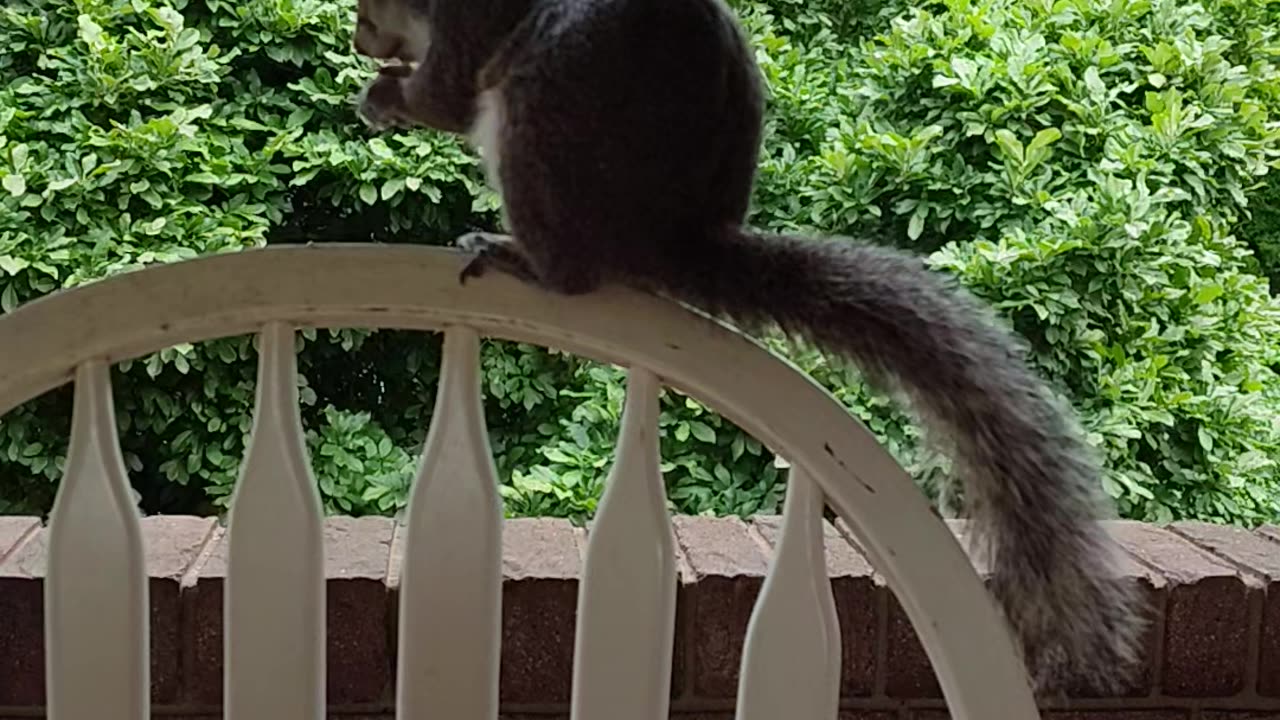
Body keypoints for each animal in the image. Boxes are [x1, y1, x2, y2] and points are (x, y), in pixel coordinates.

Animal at [351, 0, 1146, 696]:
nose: (362, 41)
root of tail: (675, 244)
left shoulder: (467, 25)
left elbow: (445, 98)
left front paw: (384, 95)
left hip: (544, 117)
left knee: (569, 269)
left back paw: (514, 254)